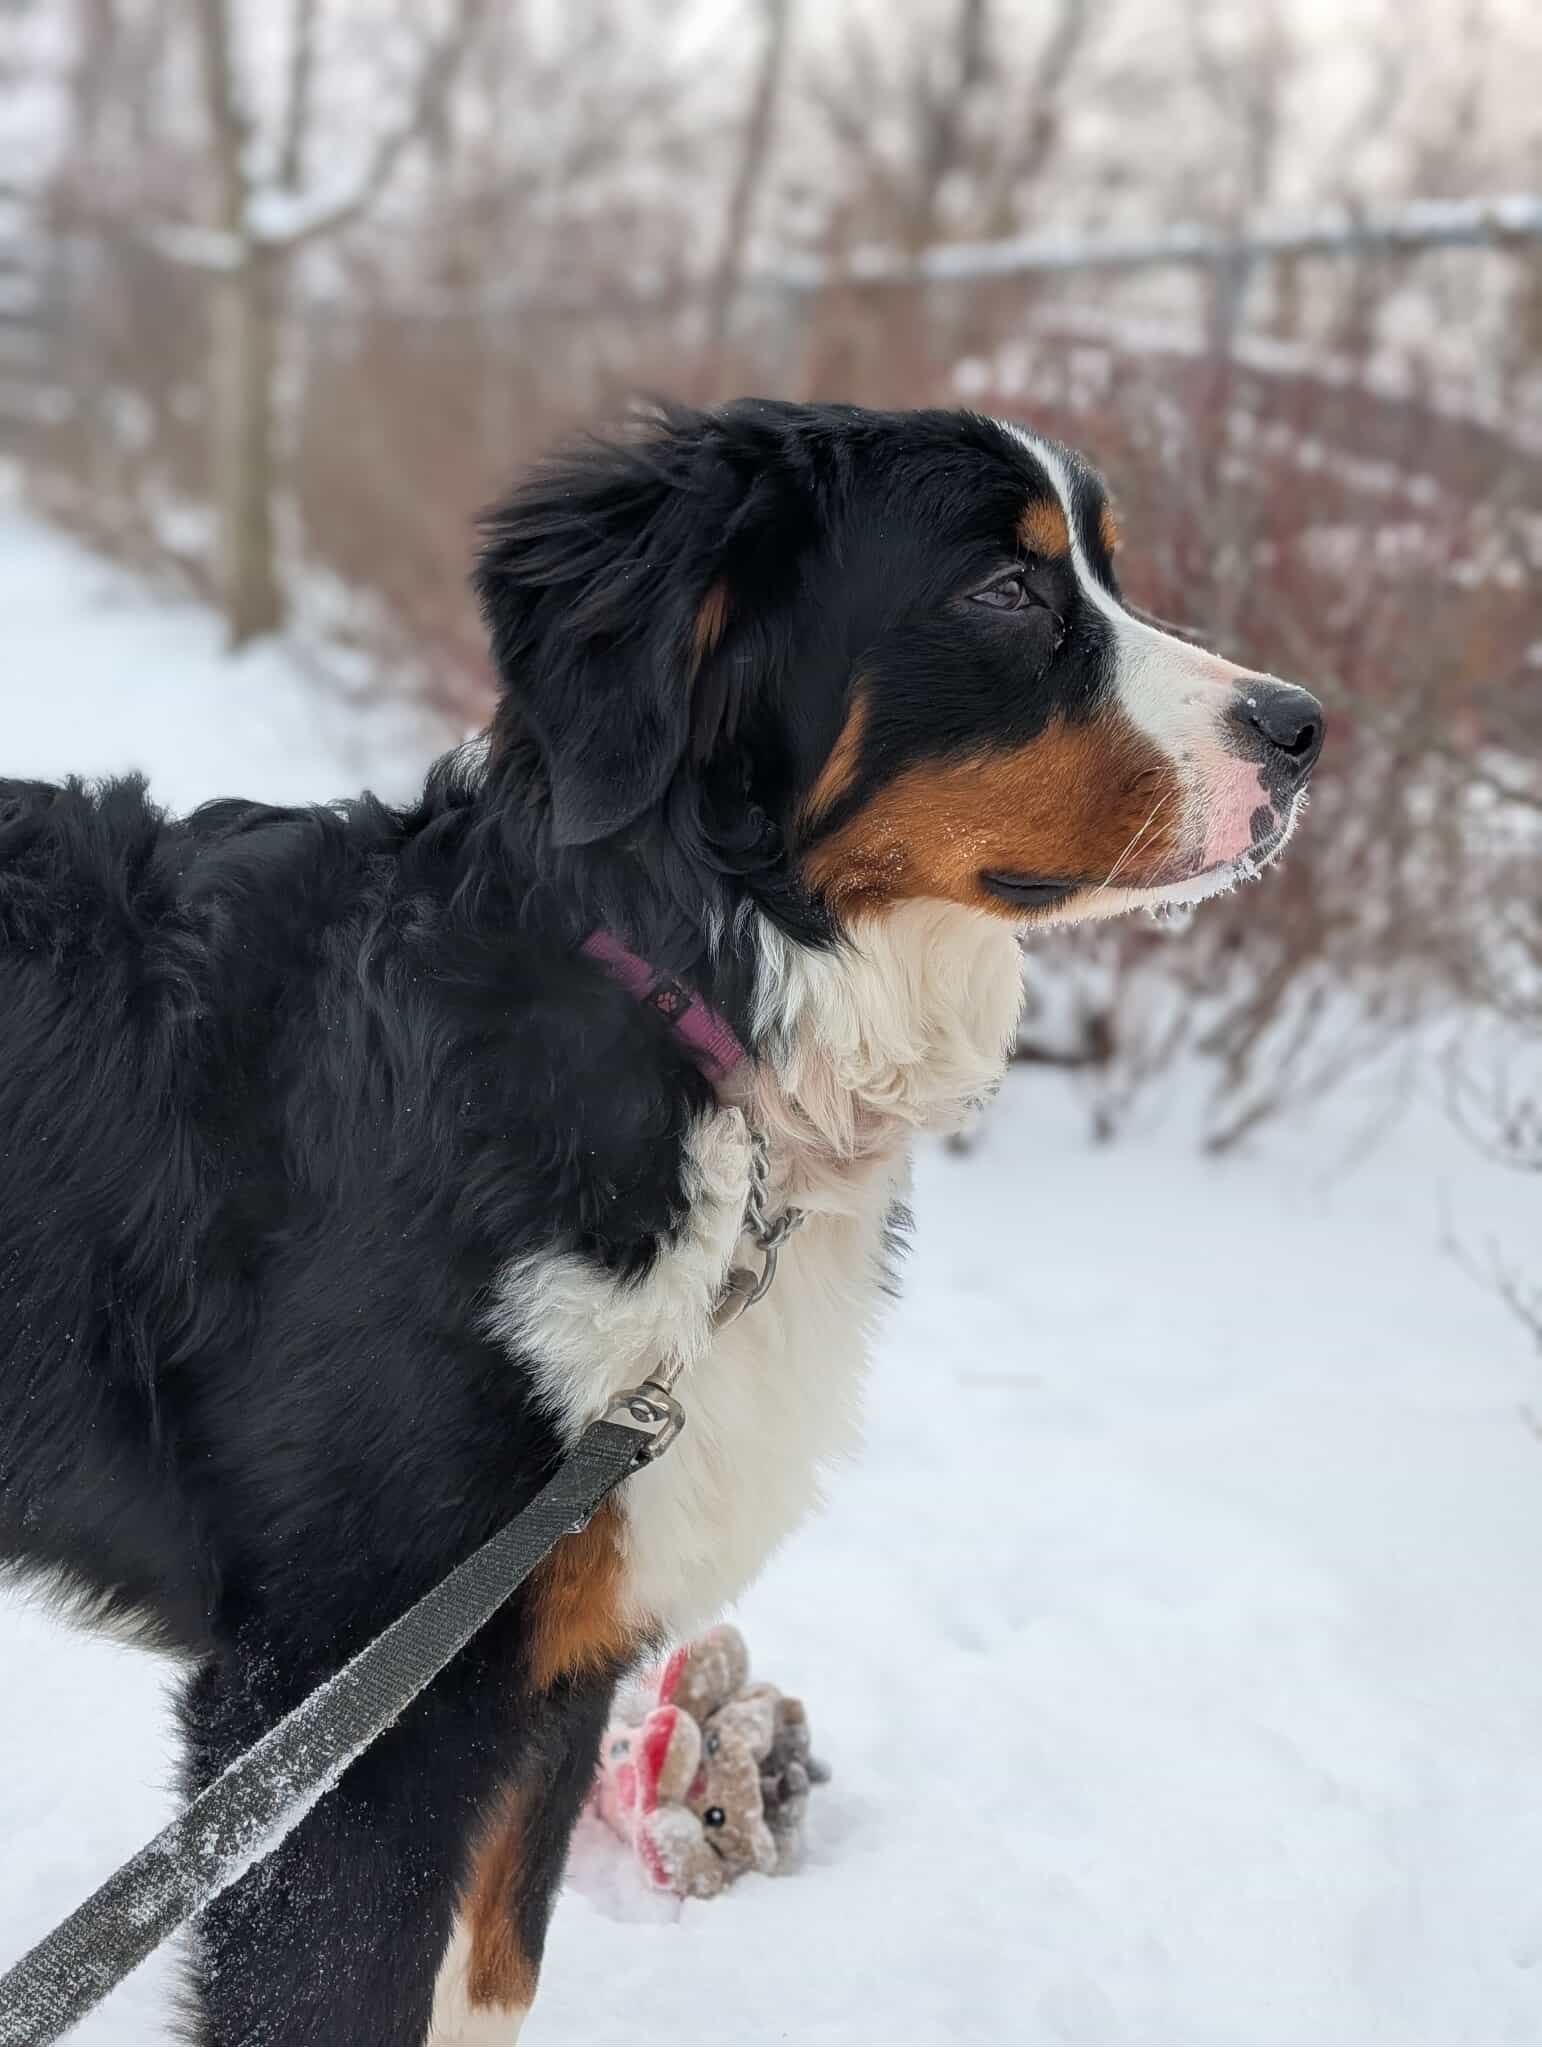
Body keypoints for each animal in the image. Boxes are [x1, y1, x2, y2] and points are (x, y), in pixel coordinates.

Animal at [0, 400, 1322, 2044]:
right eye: (1005, 589)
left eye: (1107, 571)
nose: (1303, 727)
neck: (690, 1030)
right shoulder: (343, 1702)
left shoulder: (559, 1641)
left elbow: (493, 1976)